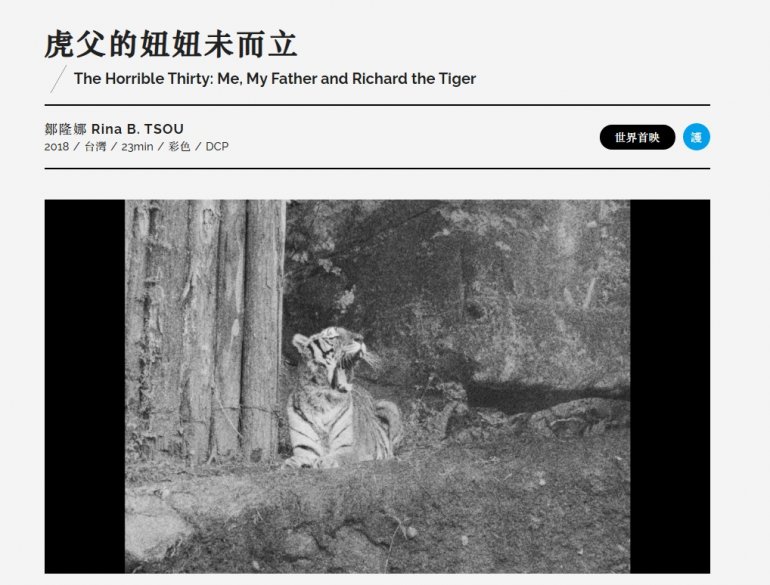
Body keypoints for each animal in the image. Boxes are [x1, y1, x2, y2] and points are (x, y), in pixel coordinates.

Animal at [284, 326, 402, 469]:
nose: (360, 338)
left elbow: (337, 457)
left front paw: (324, 461)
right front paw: (290, 463)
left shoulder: (349, 448)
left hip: (390, 406)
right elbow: (298, 458)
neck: (323, 399)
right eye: (332, 337)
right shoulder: (305, 448)